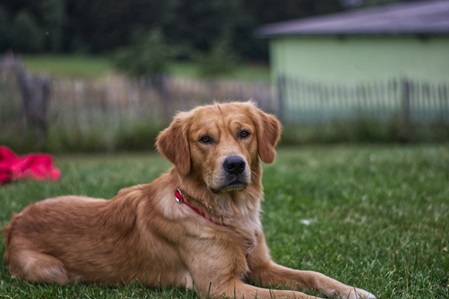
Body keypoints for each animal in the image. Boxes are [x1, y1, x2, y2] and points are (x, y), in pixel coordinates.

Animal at [2, 102, 374, 298]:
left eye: (244, 133)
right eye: (205, 139)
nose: (234, 165)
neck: (228, 213)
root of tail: (15, 220)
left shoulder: (261, 266)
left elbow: (312, 275)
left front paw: (352, 291)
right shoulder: (219, 286)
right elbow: (291, 295)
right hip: (51, 270)